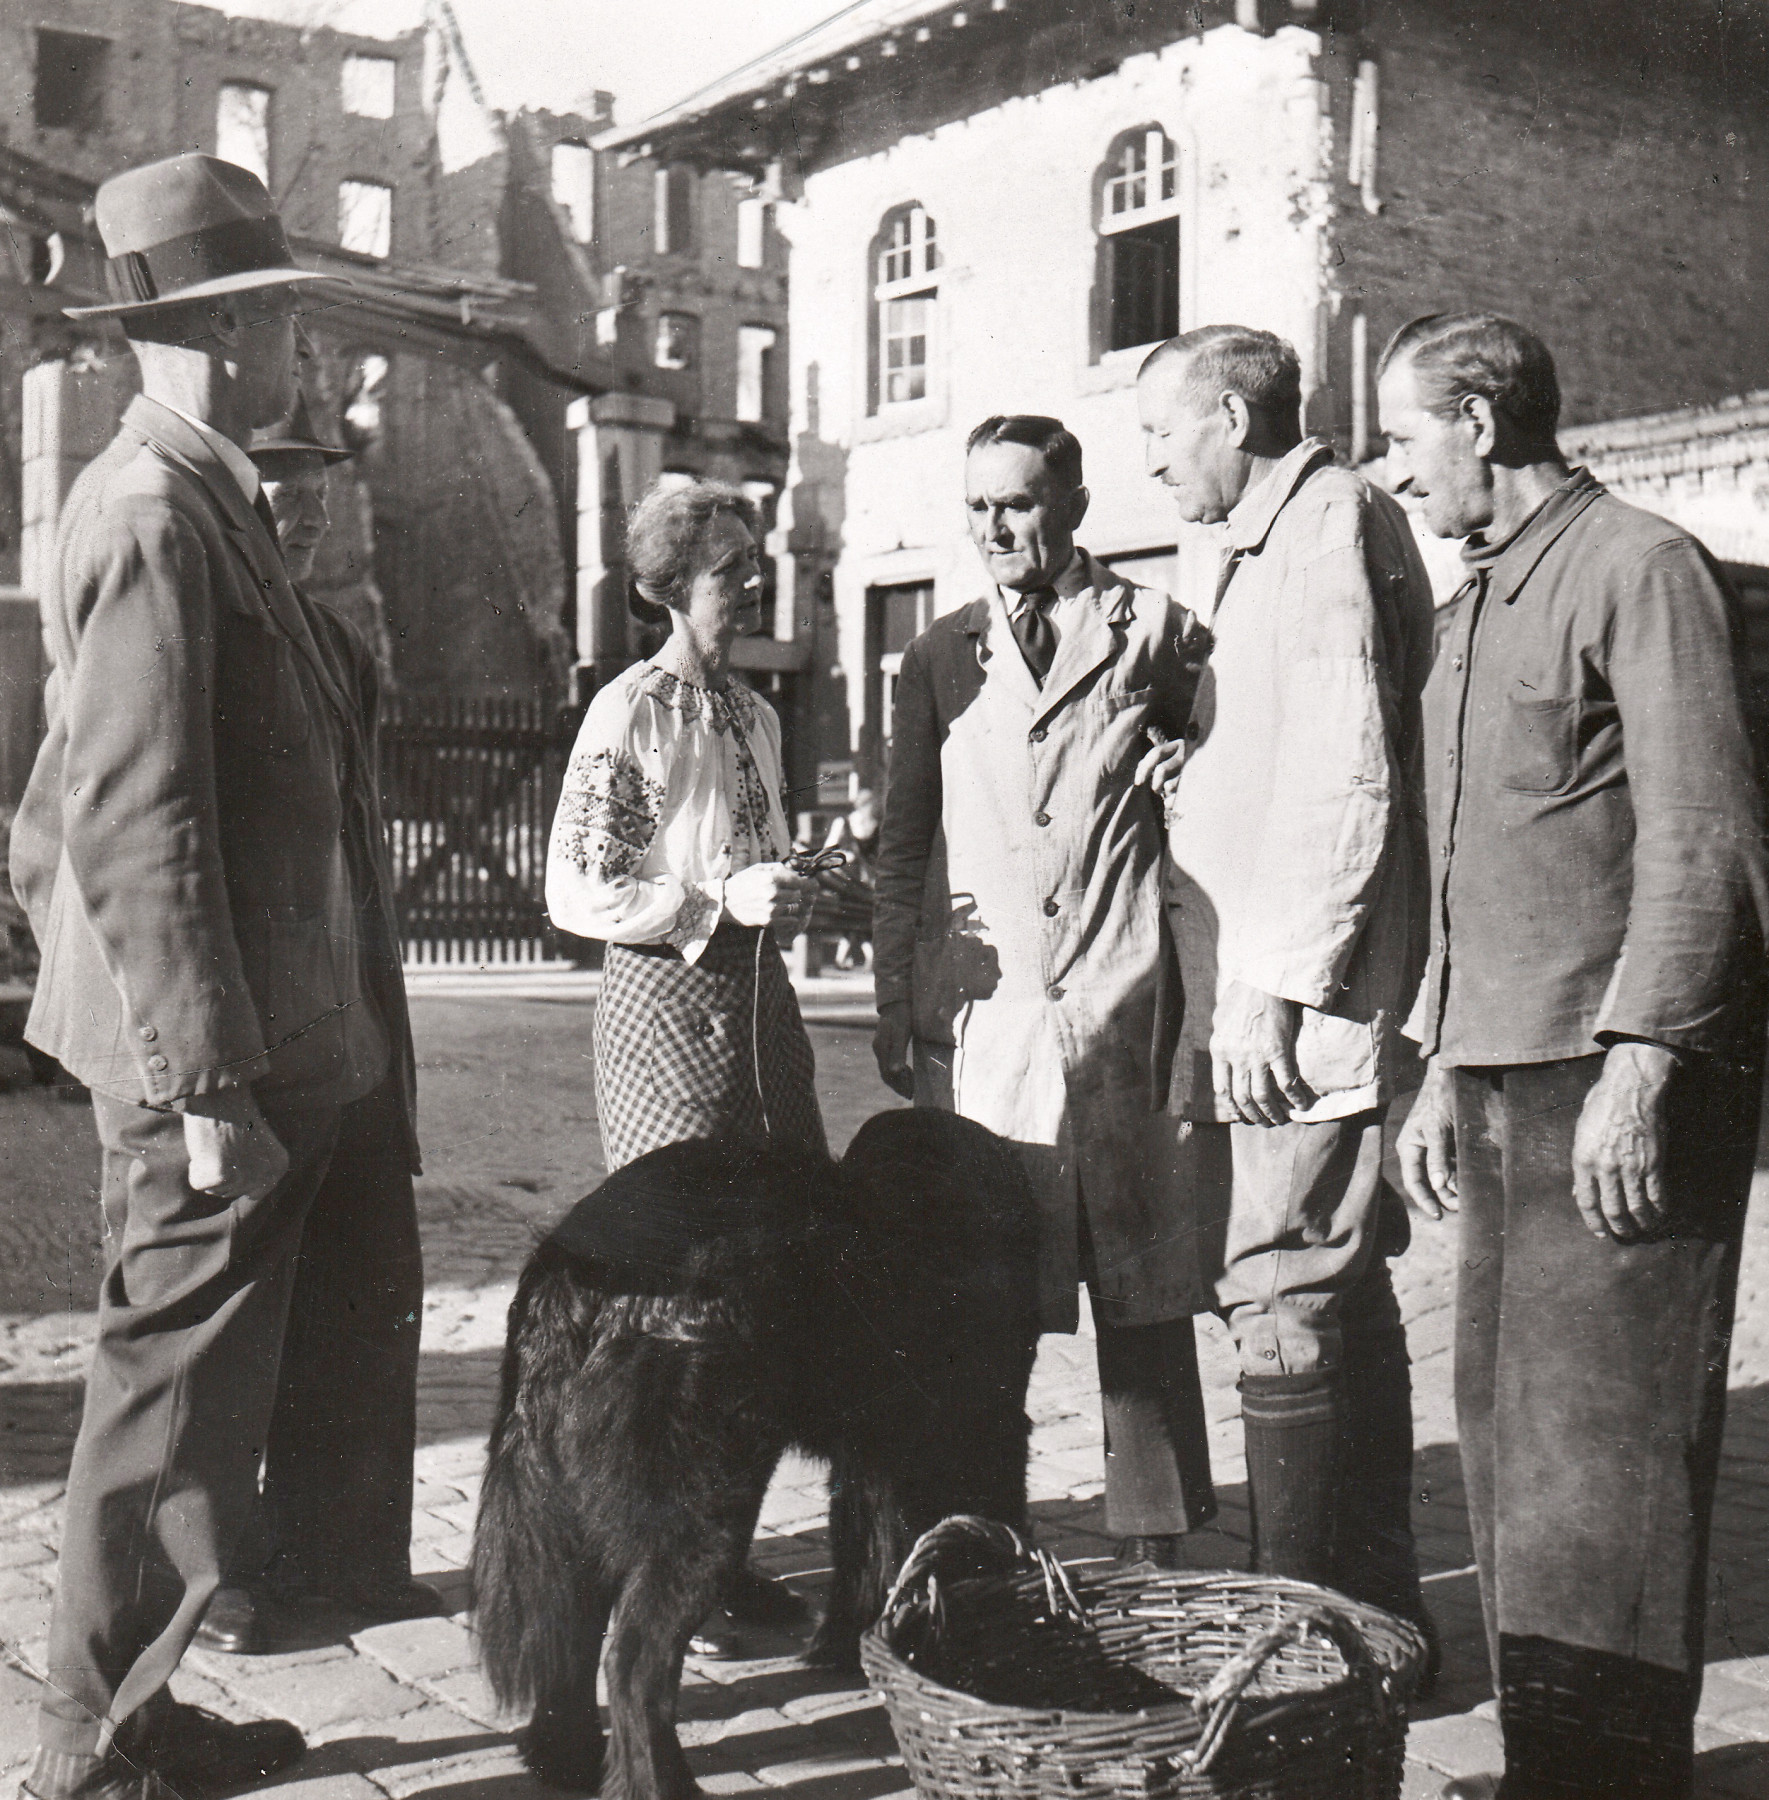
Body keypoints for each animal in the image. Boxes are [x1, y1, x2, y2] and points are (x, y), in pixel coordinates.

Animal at [478, 1108, 1043, 1800]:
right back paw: (664, 1786)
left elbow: (866, 1547)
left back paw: (567, 1759)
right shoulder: (984, 1427)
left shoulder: (871, 1452)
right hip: (705, 1504)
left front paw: (847, 1647)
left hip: (568, 1503)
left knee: (573, 1633)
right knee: (634, 1661)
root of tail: (571, 1269)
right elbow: (978, 1523)